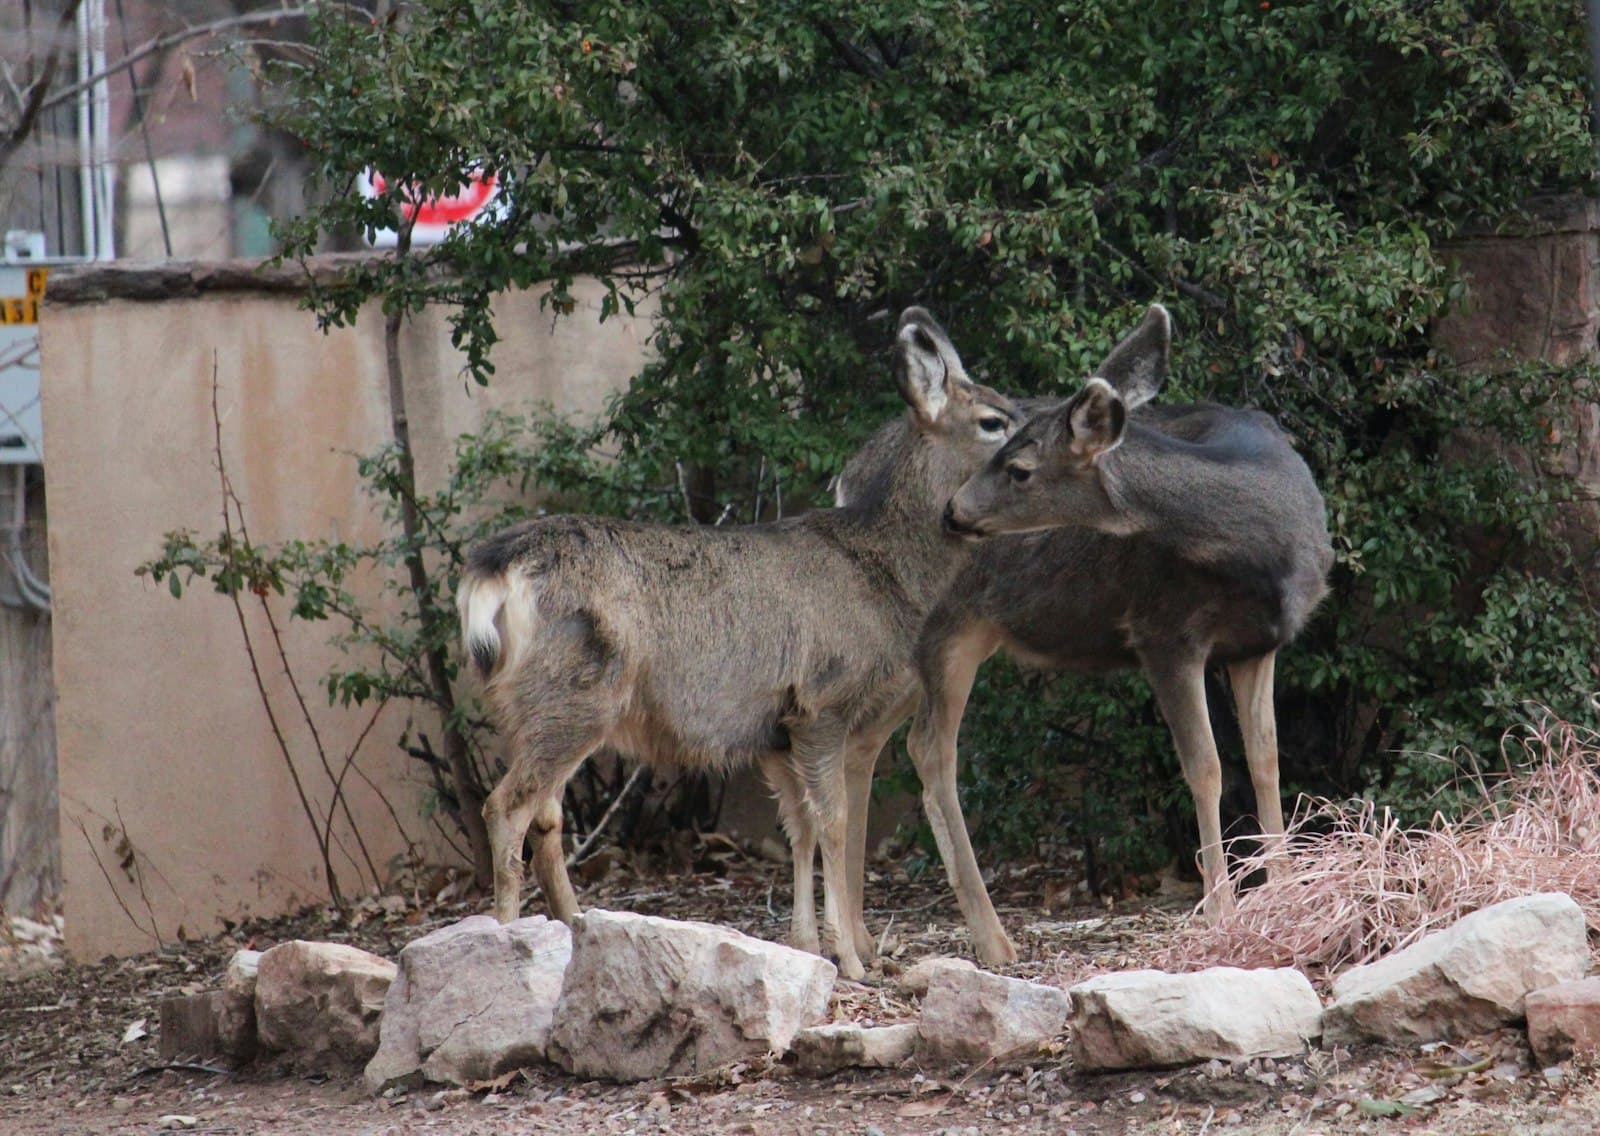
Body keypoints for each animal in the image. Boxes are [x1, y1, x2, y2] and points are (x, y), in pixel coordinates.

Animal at [456, 307, 1020, 979]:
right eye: (992, 421)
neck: (881, 571)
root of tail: (493, 571)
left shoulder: (774, 729)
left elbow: (799, 828)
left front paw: (807, 944)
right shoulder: (823, 699)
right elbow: (834, 822)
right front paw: (850, 961)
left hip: (536, 706)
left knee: (545, 812)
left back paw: (574, 930)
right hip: (573, 696)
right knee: (506, 807)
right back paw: (506, 941)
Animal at [898, 304, 1335, 965]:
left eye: (1019, 468)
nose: (953, 510)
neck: (1265, 544)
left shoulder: (1260, 643)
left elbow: (1265, 760)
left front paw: (1285, 891)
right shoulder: (1164, 633)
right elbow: (1206, 768)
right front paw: (1220, 911)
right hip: (946, 625)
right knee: (929, 749)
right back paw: (991, 938)